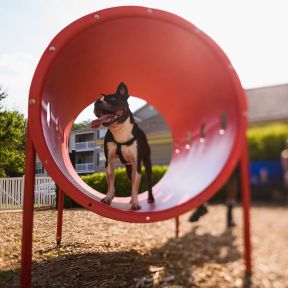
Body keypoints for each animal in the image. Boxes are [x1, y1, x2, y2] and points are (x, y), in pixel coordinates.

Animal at [93, 82, 155, 210]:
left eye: (112, 99)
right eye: (97, 101)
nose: (96, 102)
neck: (119, 130)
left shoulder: (137, 163)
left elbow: (136, 186)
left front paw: (136, 202)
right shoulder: (109, 161)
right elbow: (111, 182)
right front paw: (108, 198)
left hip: (147, 162)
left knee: (148, 182)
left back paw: (150, 198)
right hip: (128, 168)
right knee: (132, 181)